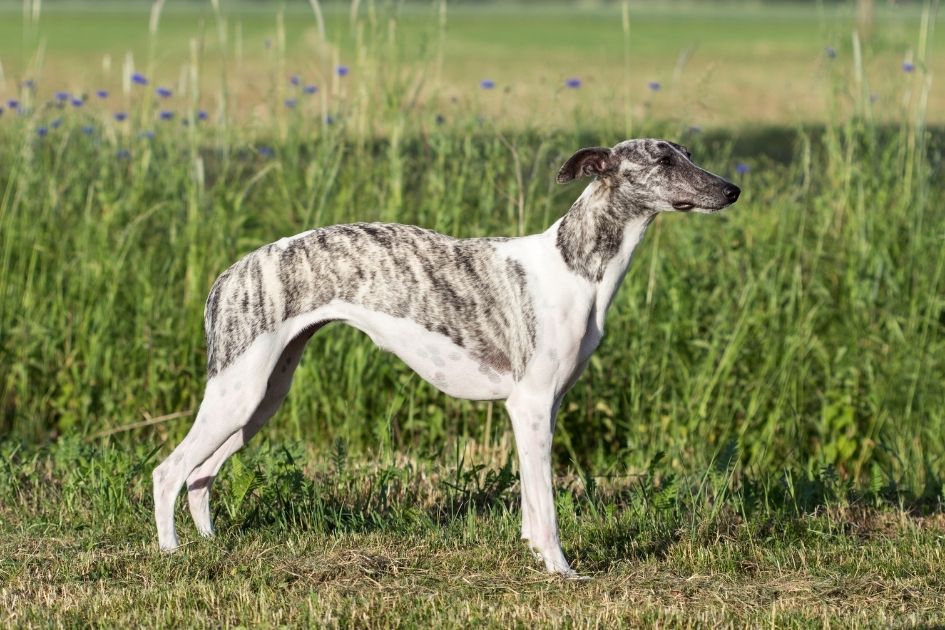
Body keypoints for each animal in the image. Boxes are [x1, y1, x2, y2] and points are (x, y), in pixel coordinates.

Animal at [153, 137, 736, 576]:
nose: (733, 190)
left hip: (261, 399)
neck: (575, 265)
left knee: (201, 476)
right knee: (169, 471)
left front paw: (534, 556)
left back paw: (208, 545)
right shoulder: (530, 405)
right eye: (663, 160)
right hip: (238, 393)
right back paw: (172, 553)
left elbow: (531, 501)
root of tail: (229, 274)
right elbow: (546, 504)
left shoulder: (540, 408)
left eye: (686, 152)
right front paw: (561, 570)